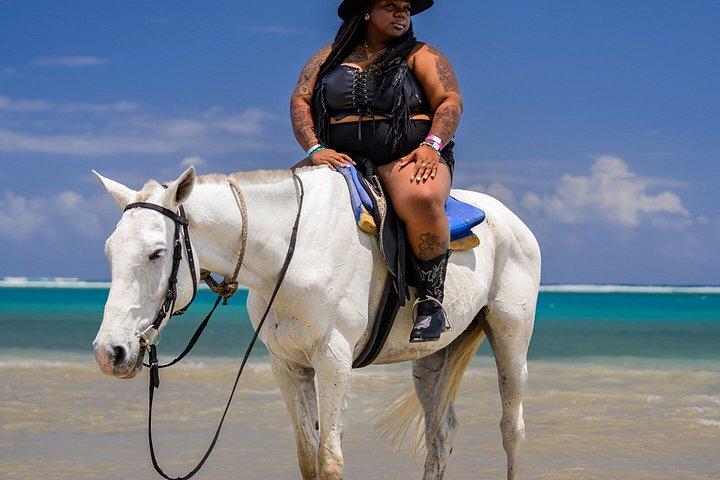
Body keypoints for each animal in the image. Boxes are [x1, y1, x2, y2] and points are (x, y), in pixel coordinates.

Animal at [92, 165, 541, 480]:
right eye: (109, 251)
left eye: (156, 252)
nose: (108, 353)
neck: (292, 252)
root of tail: (513, 220)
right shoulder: (288, 365)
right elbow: (309, 458)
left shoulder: (333, 360)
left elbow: (329, 460)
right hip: (433, 356)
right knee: (440, 436)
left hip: (510, 335)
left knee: (512, 429)